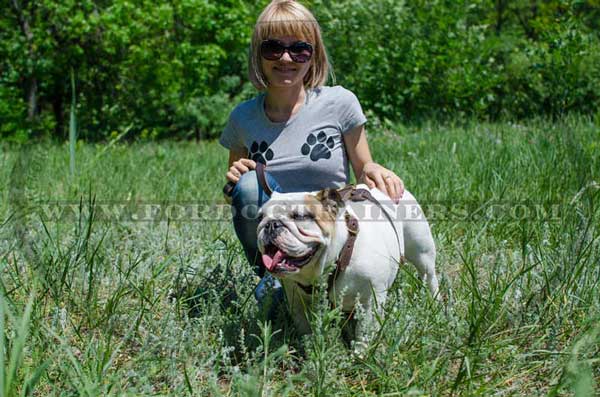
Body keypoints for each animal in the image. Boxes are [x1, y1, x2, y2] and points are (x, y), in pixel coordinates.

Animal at [255, 184, 438, 338]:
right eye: (260, 217)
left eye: (300, 216)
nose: (271, 224)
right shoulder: (297, 302)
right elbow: (305, 328)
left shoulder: (369, 303)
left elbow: (364, 334)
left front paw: (360, 355)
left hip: (422, 252)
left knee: (429, 276)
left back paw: (434, 301)